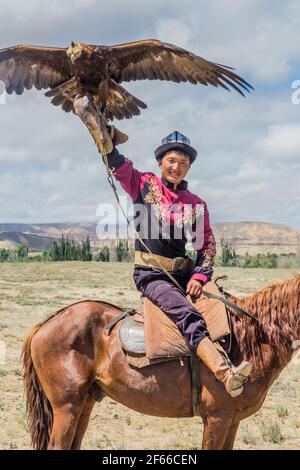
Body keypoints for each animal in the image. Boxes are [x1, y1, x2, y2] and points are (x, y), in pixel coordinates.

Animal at [21, 276, 300, 452]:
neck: (247, 340)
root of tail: (44, 325)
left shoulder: (232, 421)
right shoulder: (217, 418)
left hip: (85, 403)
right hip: (66, 406)